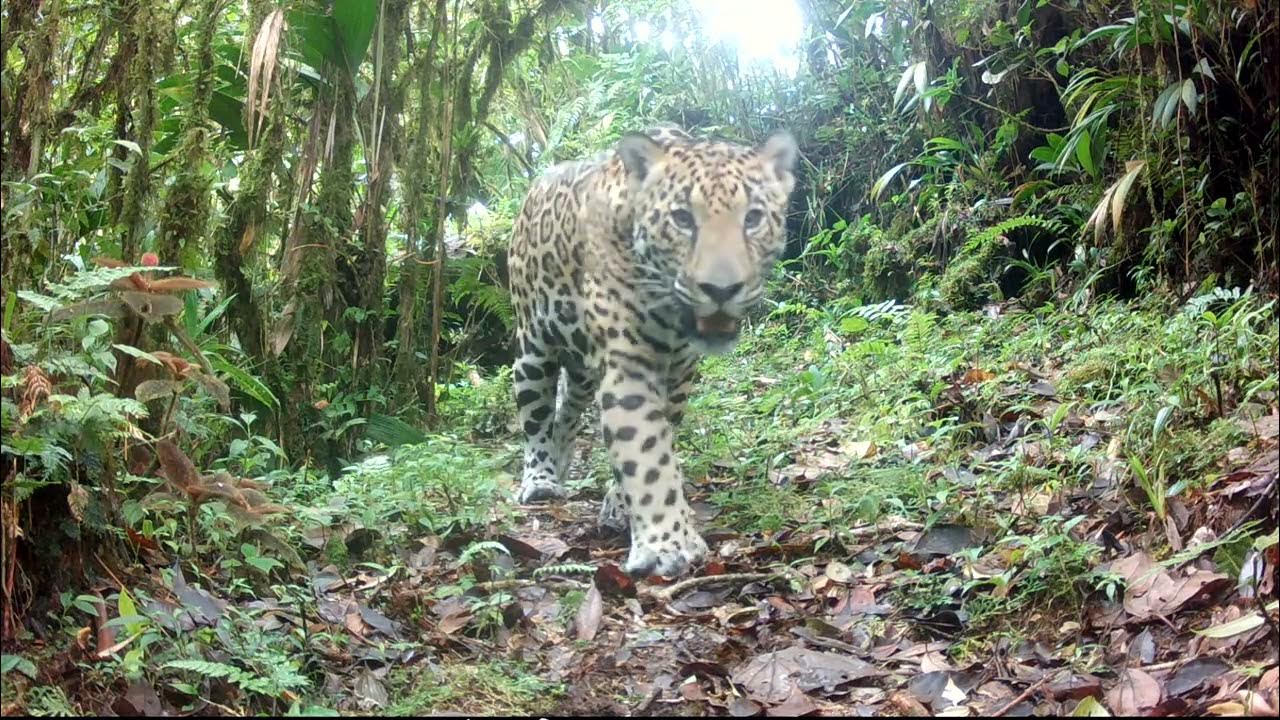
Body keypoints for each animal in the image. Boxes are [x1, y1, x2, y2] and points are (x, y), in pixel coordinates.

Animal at [506, 124, 798, 578]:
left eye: (752, 218)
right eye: (682, 219)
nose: (721, 290)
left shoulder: (679, 373)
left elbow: (655, 441)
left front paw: (620, 508)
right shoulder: (630, 364)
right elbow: (644, 452)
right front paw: (666, 545)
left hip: (582, 369)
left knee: (568, 408)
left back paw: (562, 457)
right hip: (533, 348)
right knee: (535, 414)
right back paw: (541, 481)